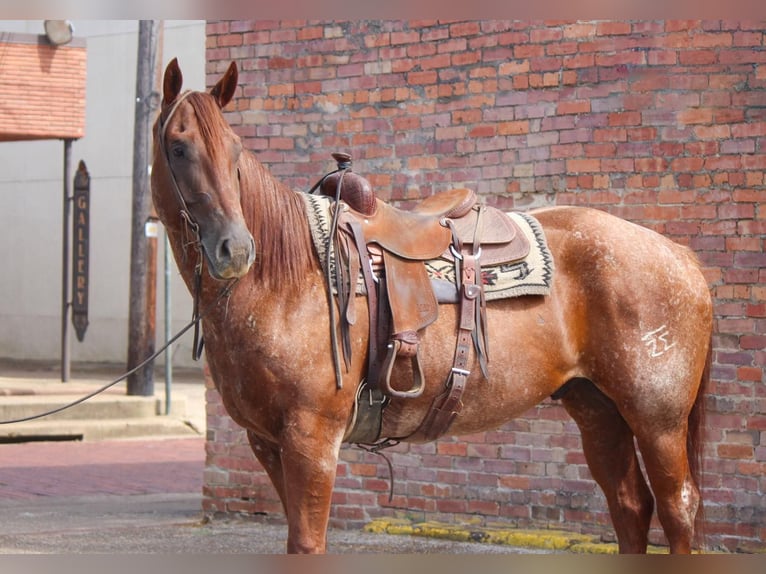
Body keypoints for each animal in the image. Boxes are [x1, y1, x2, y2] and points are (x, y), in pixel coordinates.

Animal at [153, 57, 716, 552]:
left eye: (235, 151)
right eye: (177, 148)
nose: (235, 249)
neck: (288, 280)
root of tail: (681, 256)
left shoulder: (312, 438)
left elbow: (307, 543)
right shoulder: (268, 444)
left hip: (658, 419)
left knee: (677, 508)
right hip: (598, 409)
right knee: (630, 507)